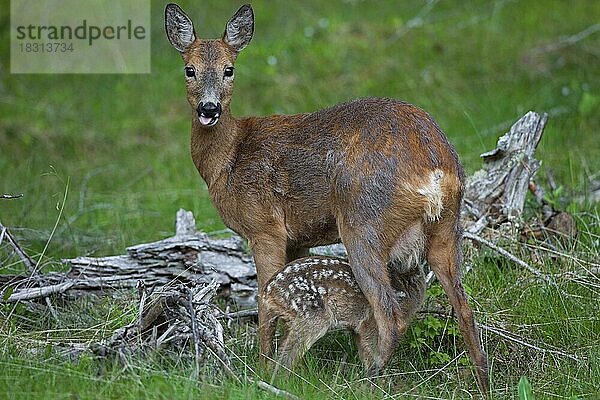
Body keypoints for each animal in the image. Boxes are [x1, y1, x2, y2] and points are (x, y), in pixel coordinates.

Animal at [264, 256, 426, 376]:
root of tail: (268, 292)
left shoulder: (356, 328)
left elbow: (365, 352)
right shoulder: (371, 321)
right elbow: (374, 352)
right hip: (311, 316)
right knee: (286, 354)